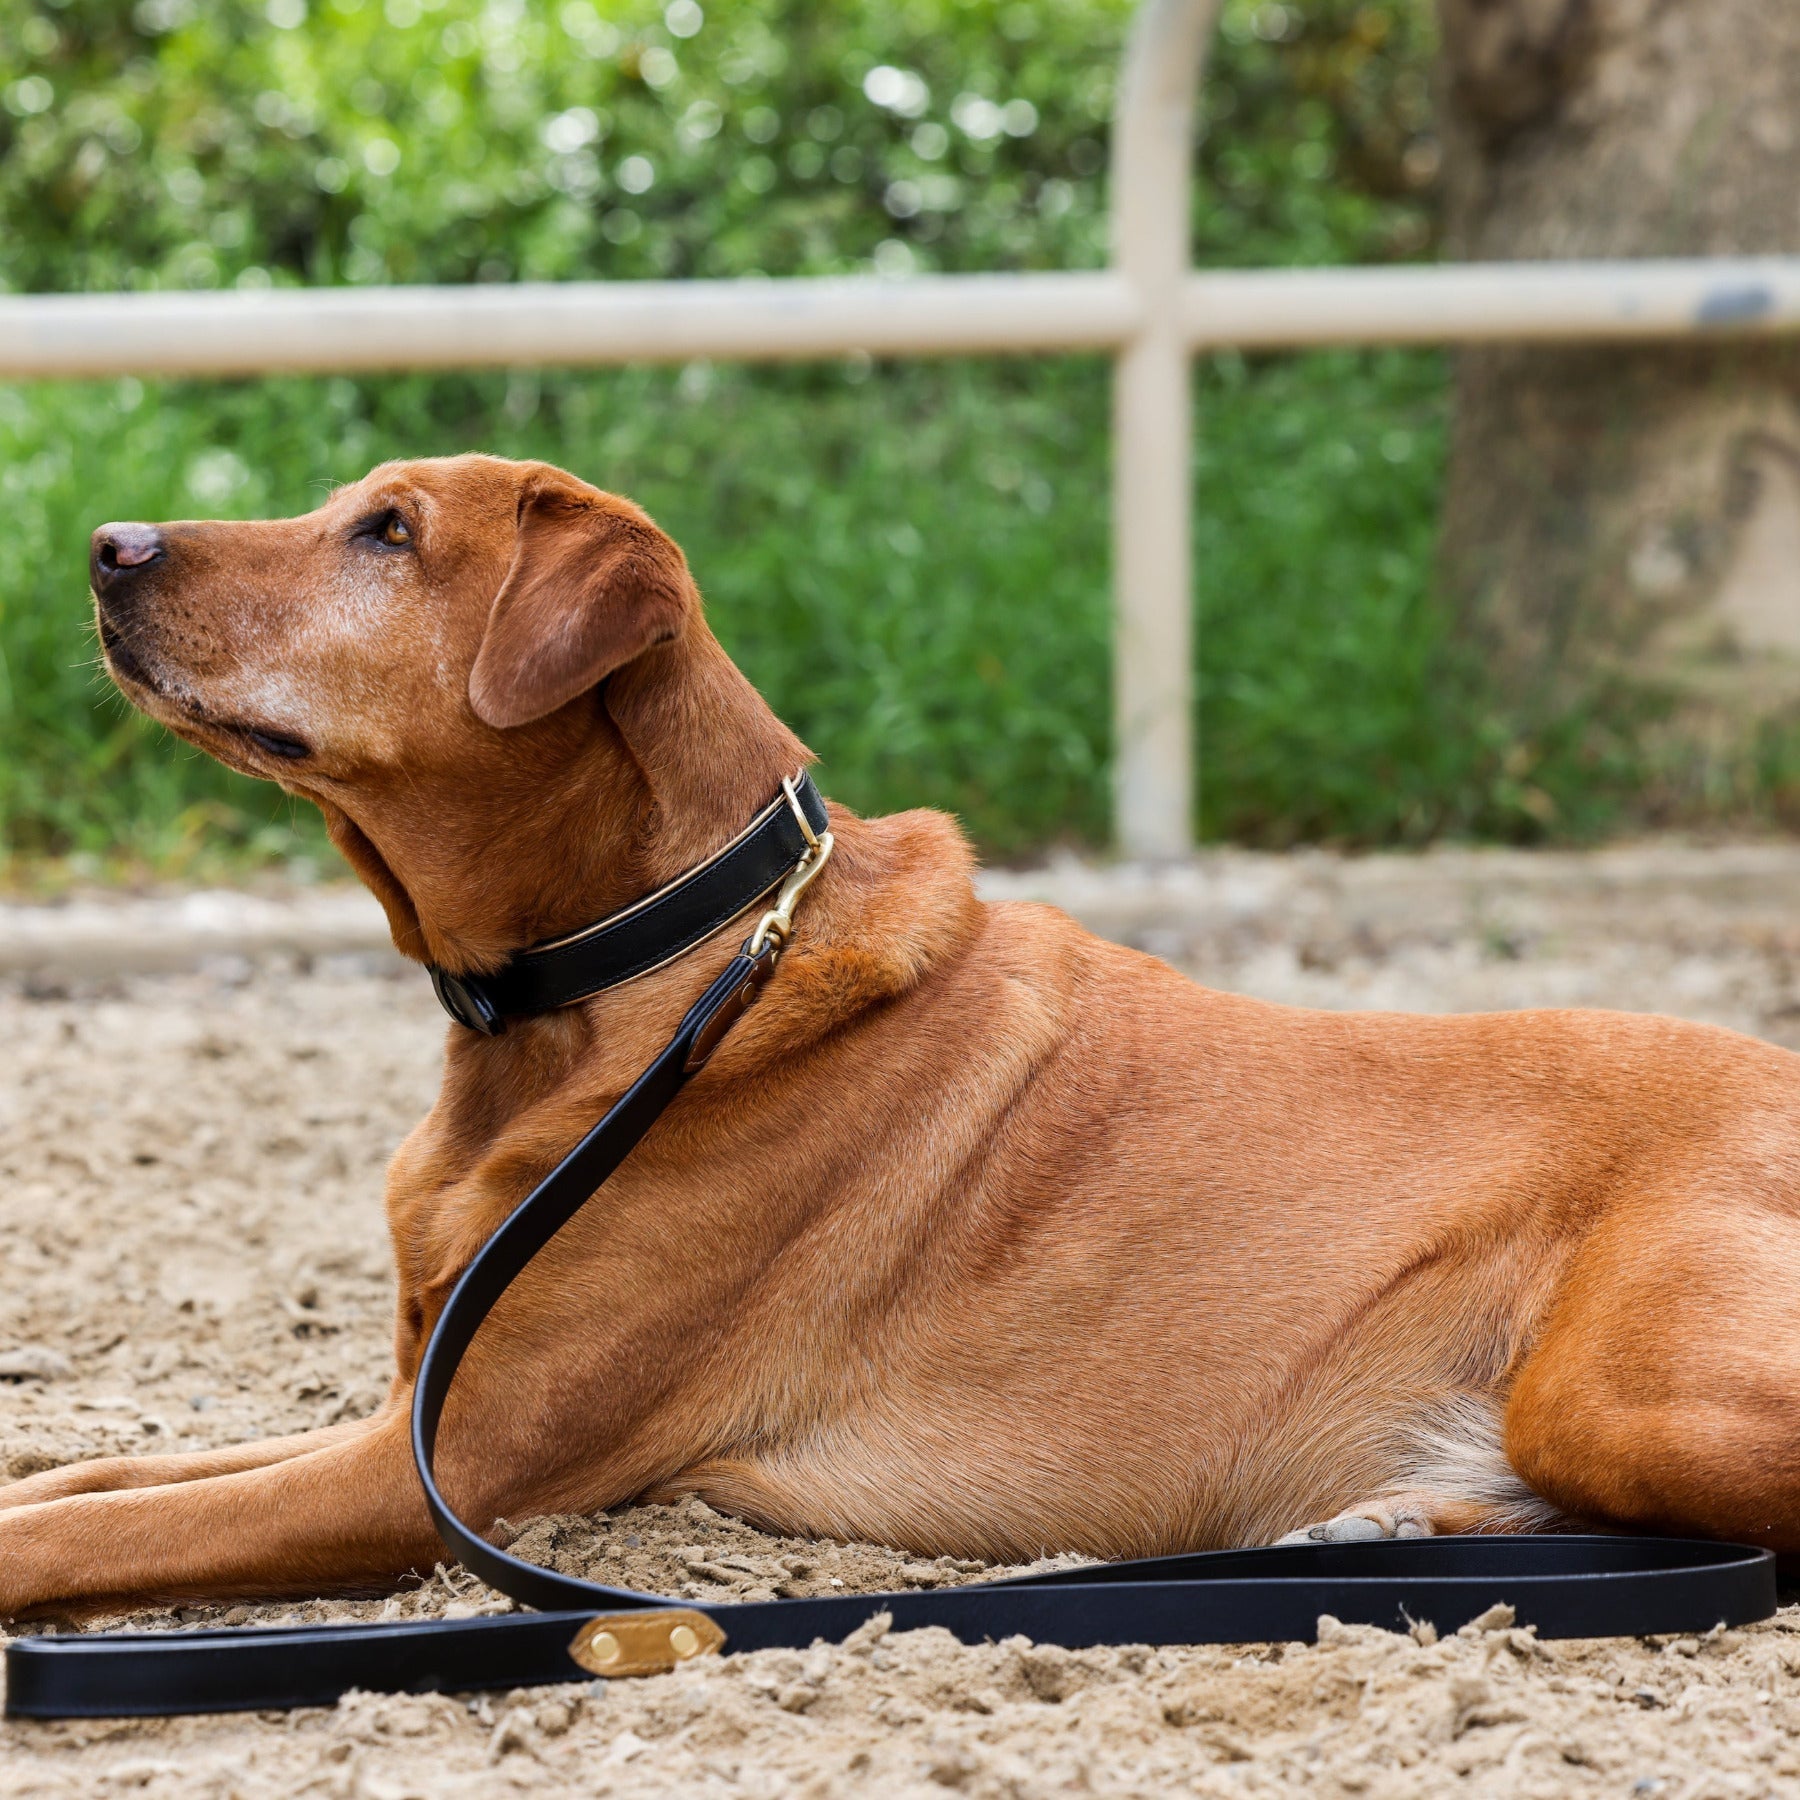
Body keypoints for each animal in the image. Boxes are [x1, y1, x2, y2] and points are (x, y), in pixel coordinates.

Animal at [3, 453, 1800, 1620]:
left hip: (1621, 1379)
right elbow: (87, 1485)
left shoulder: (455, 1464)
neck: (646, 972)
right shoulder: (403, 1414)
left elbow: (85, 1536)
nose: (105, 543)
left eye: (386, 534)